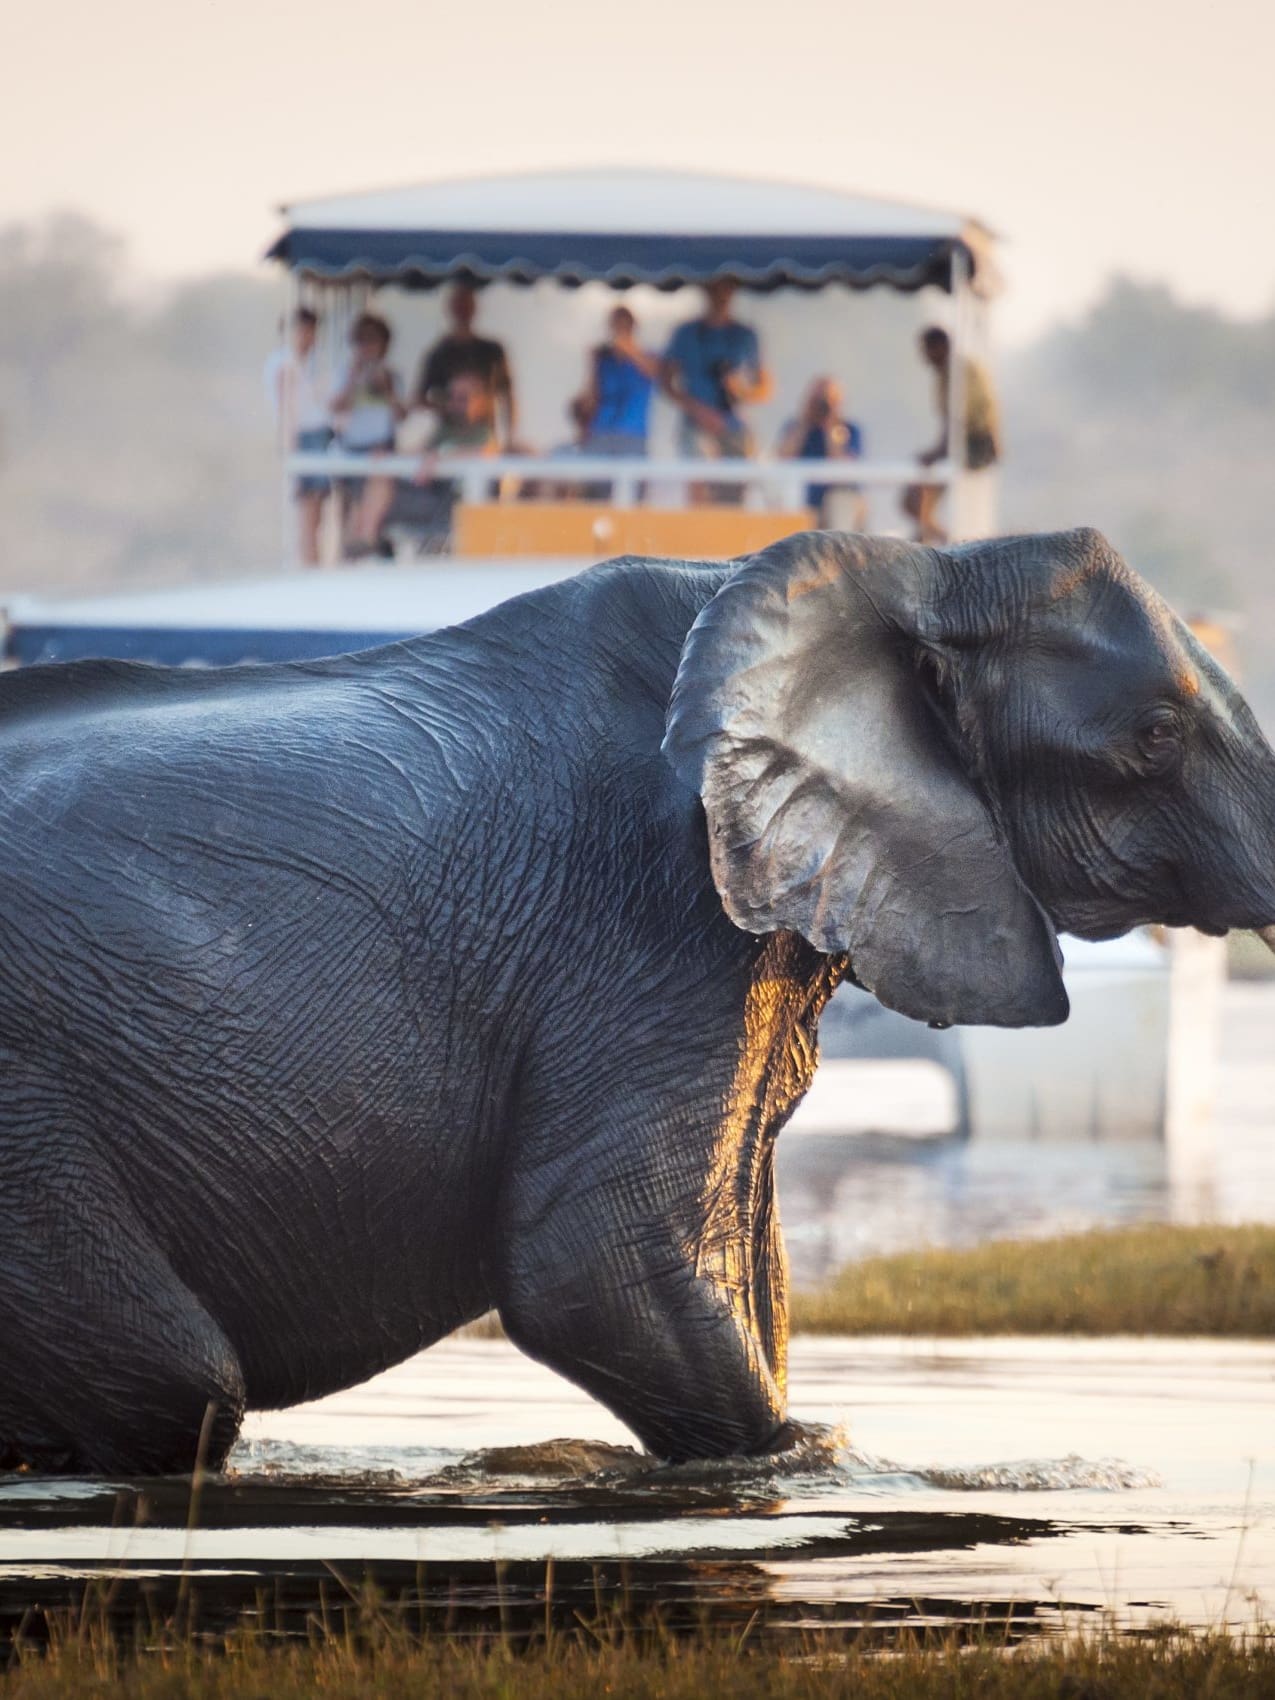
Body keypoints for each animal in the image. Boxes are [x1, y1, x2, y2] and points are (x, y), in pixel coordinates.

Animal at [0, 526, 1272, 1476]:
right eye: (1156, 734)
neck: (911, 568)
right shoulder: (647, 918)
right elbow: (595, 1269)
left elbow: (741, 1270)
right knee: (175, 1383)